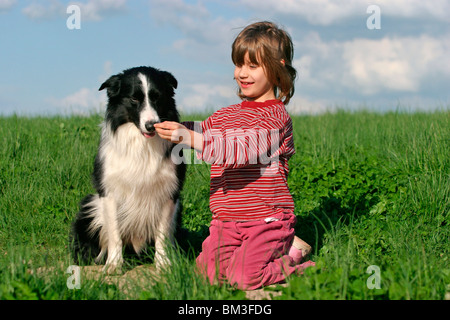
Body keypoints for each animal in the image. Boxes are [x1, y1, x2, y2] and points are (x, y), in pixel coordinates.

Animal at [70, 66, 185, 274]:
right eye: (134, 99)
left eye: (157, 97)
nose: (151, 125)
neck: (142, 144)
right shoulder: (109, 193)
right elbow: (114, 232)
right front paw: (114, 265)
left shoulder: (169, 193)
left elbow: (162, 233)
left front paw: (163, 263)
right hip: (89, 206)